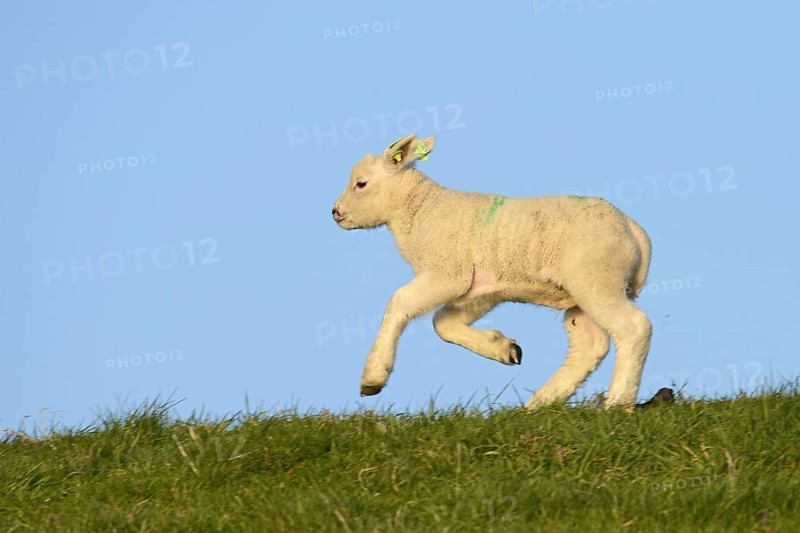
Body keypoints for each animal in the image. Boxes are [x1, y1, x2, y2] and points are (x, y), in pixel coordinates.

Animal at [331, 134, 653, 410]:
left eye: (361, 184)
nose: (335, 212)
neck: (422, 210)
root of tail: (634, 231)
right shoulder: (481, 289)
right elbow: (442, 324)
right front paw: (504, 349)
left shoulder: (448, 273)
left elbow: (399, 302)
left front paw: (373, 378)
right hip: (584, 291)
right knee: (589, 344)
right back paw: (541, 404)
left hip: (595, 277)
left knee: (633, 328)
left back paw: (618, 402)